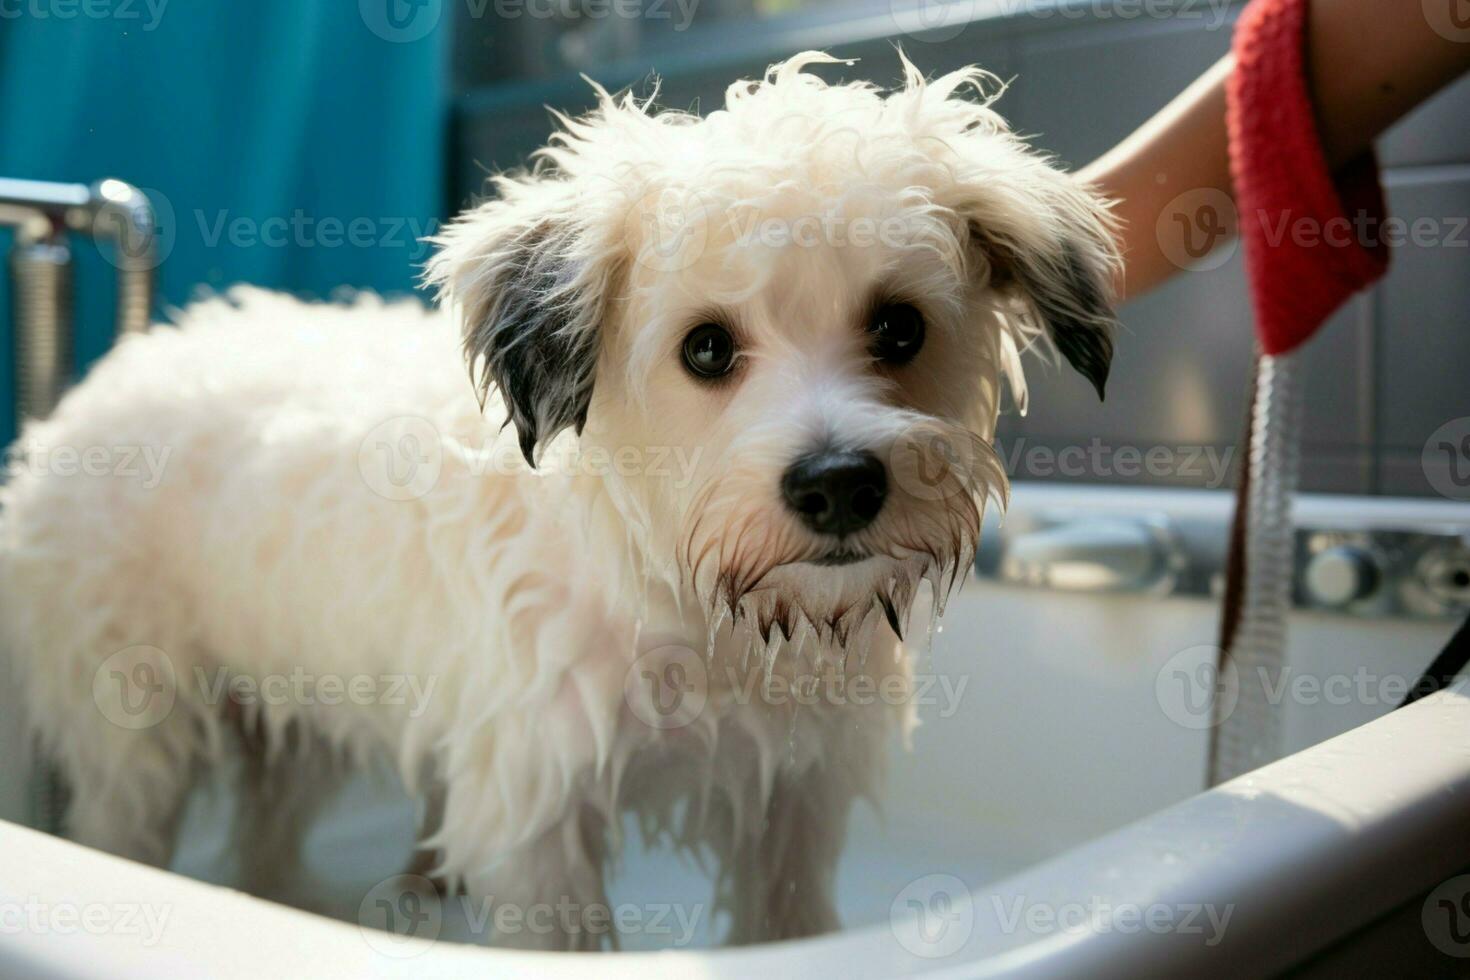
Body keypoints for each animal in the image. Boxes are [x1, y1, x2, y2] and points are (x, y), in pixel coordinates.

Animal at [0, 51, 1111, 952]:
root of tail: (119, 366)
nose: (838, 484)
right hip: (136, 727)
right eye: (707, 347)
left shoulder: (795, 796)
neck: (685, 593)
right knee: (126, 823)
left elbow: (786, 918)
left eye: (899, 326)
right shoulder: (535, 814)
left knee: (262, 846)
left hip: (299, 701)